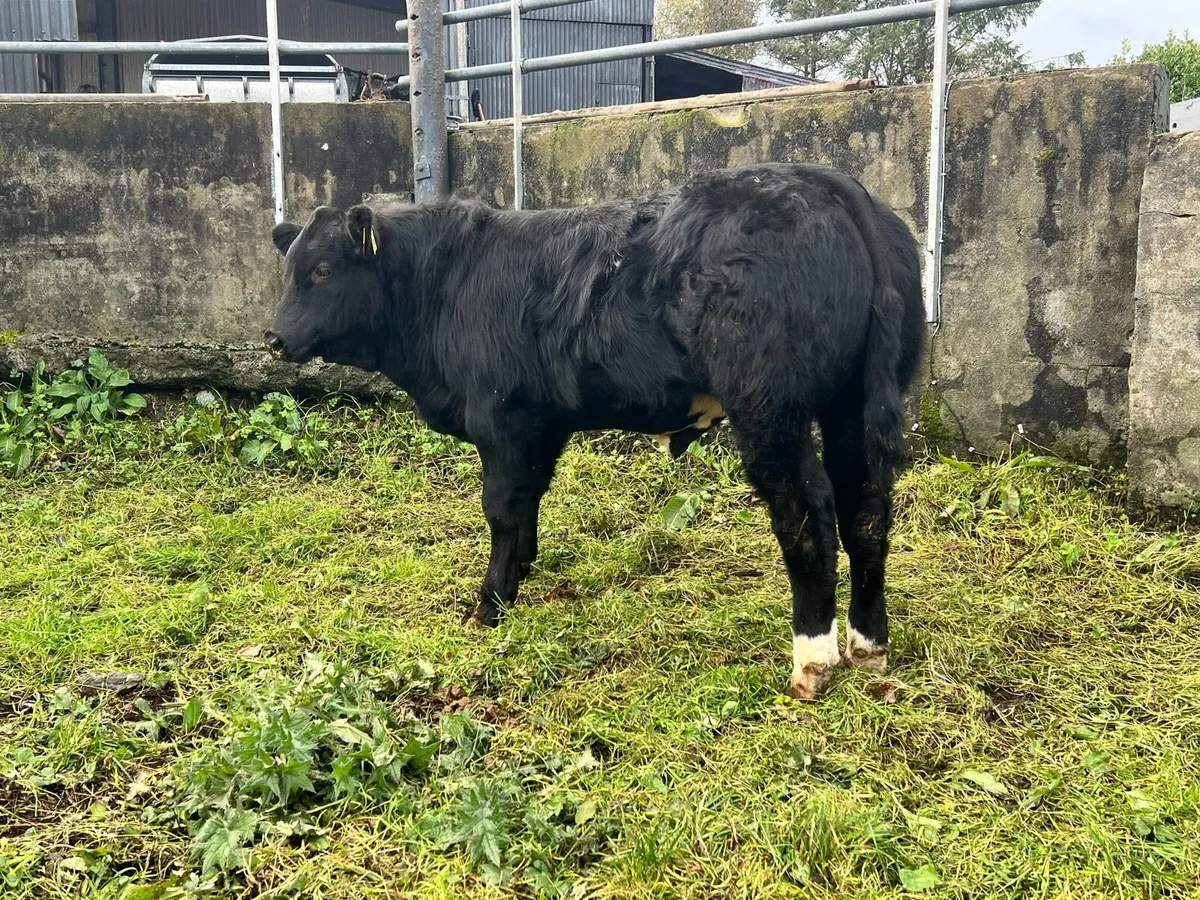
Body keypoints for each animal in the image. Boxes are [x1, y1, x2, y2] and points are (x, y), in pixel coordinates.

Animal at [264, 162, 926, 699]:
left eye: (322, 270)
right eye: (288, 271)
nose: (273, 338)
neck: (447, 283)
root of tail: (823, 183)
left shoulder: (502, 421)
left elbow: (501, 509)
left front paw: (489, 605)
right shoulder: (541, 423)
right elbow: (529, 501)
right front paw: (522, 573)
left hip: (771, 410)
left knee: (807, 511)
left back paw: (812, 658)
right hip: (853, 404)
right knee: (865, 505)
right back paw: (869, 644)